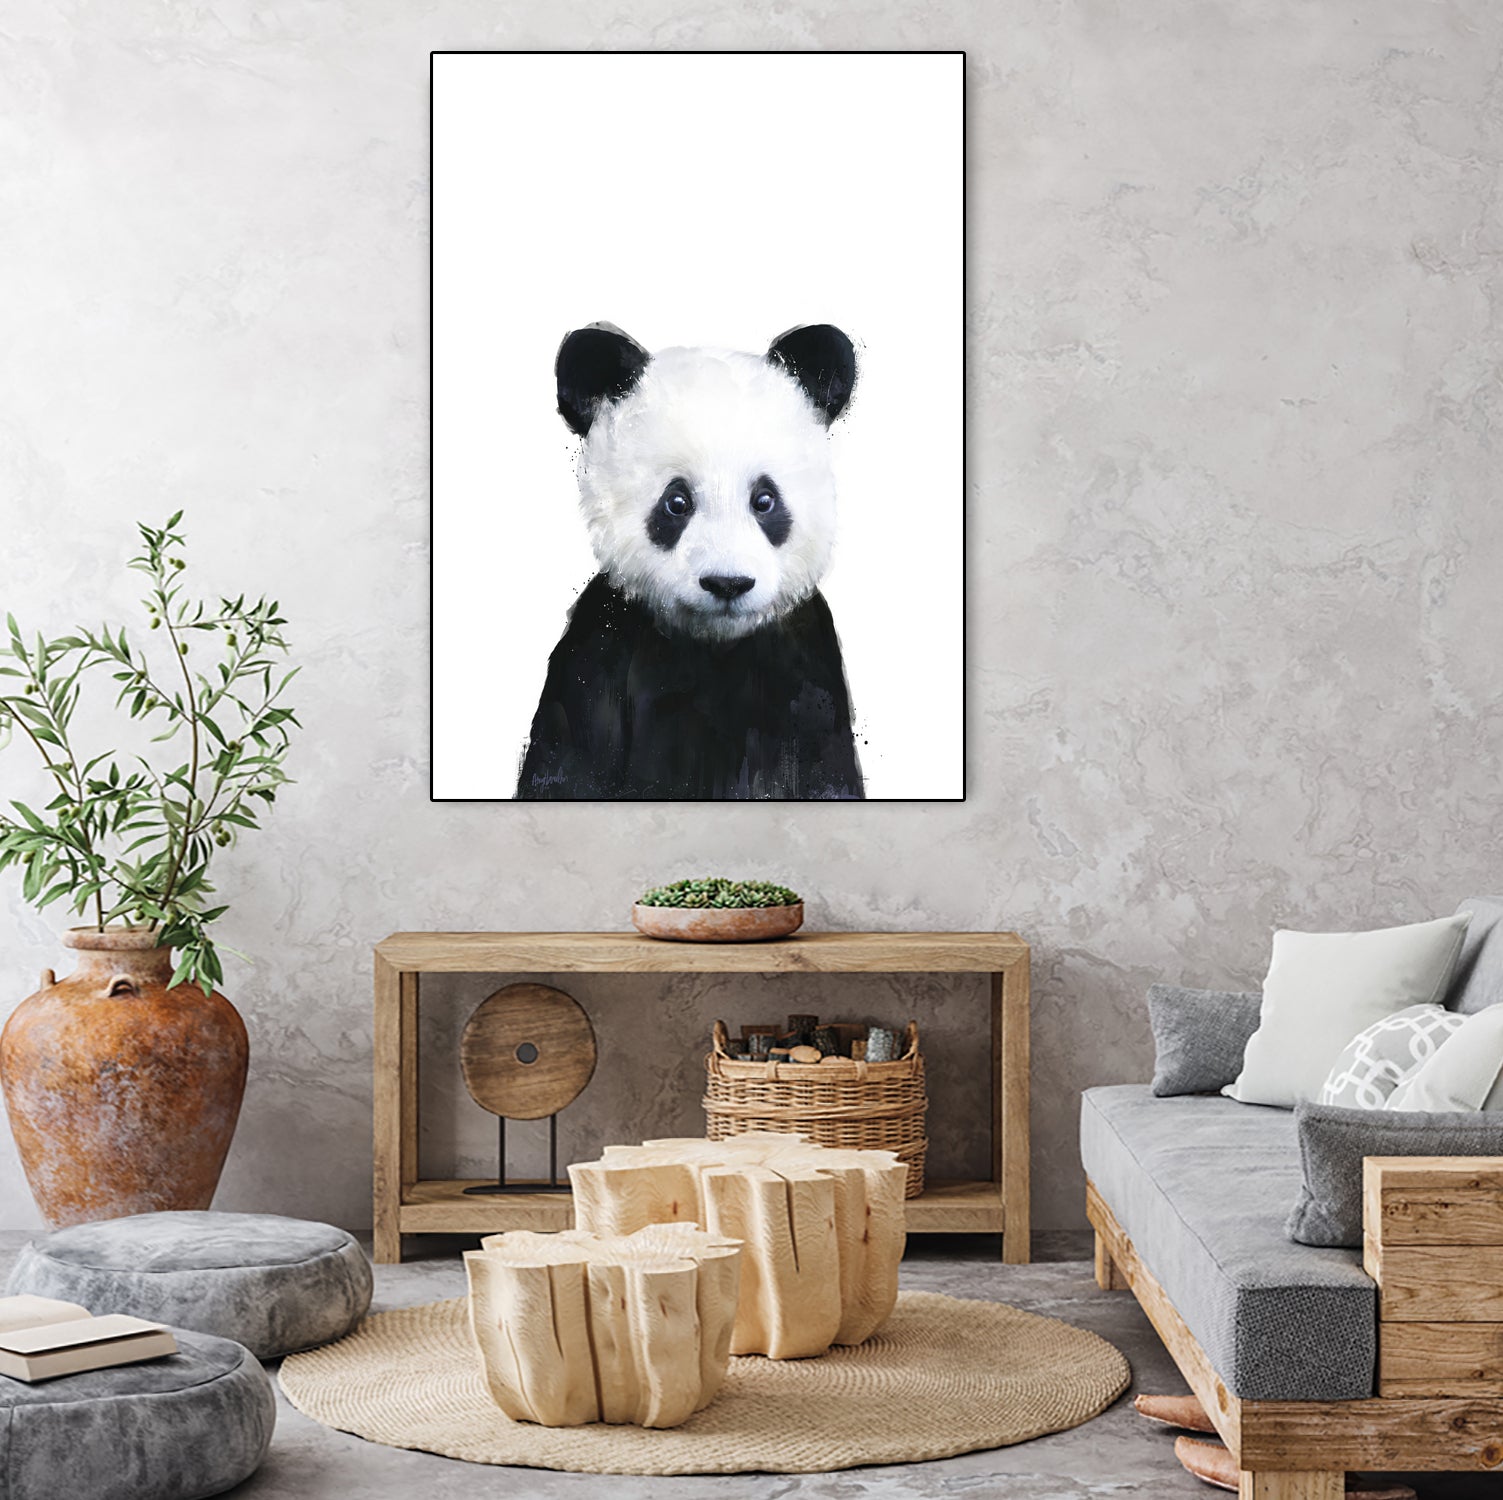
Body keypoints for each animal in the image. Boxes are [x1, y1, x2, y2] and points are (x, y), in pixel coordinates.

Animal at [515, 322, 865, 801]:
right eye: (676, 502)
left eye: (765, 500)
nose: (727, 583)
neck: (713, 645)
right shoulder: (600, 651)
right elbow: (569, 764)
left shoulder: (805, 667)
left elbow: (823, 772)